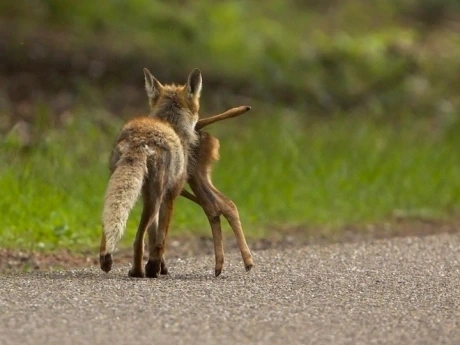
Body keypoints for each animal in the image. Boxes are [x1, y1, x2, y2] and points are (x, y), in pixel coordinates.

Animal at [99, 67, 201, 276]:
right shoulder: (170, 196)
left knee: (108, 226)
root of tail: (140, 140)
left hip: (118, 187)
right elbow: (160, 240)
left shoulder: (150, 195)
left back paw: (106, 260)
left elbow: (153, 237)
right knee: (138, 240)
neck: (170, 124)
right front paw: (156, 267)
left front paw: (160, 266)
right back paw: (139, 272)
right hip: (155, 197)